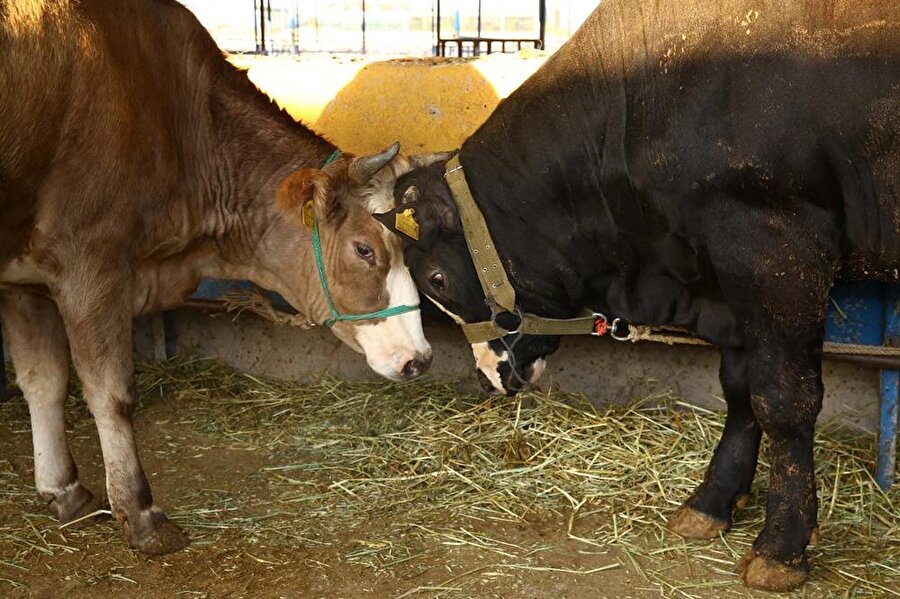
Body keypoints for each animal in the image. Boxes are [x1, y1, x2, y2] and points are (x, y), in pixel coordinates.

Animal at [0, 0, 440, 552]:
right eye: (364, 249)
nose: (419, 359)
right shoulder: (90, 257)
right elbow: (110, 392)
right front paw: (141, 514)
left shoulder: (22, 278)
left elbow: (44, 381)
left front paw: (64, 489)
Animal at [376, 0, 900, 592]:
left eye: (436, 279)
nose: (489, 378)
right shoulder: (726, 278)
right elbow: (739, 387)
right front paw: (712, 502)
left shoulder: (774, 252)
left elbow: (783, 400)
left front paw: (781, 547)